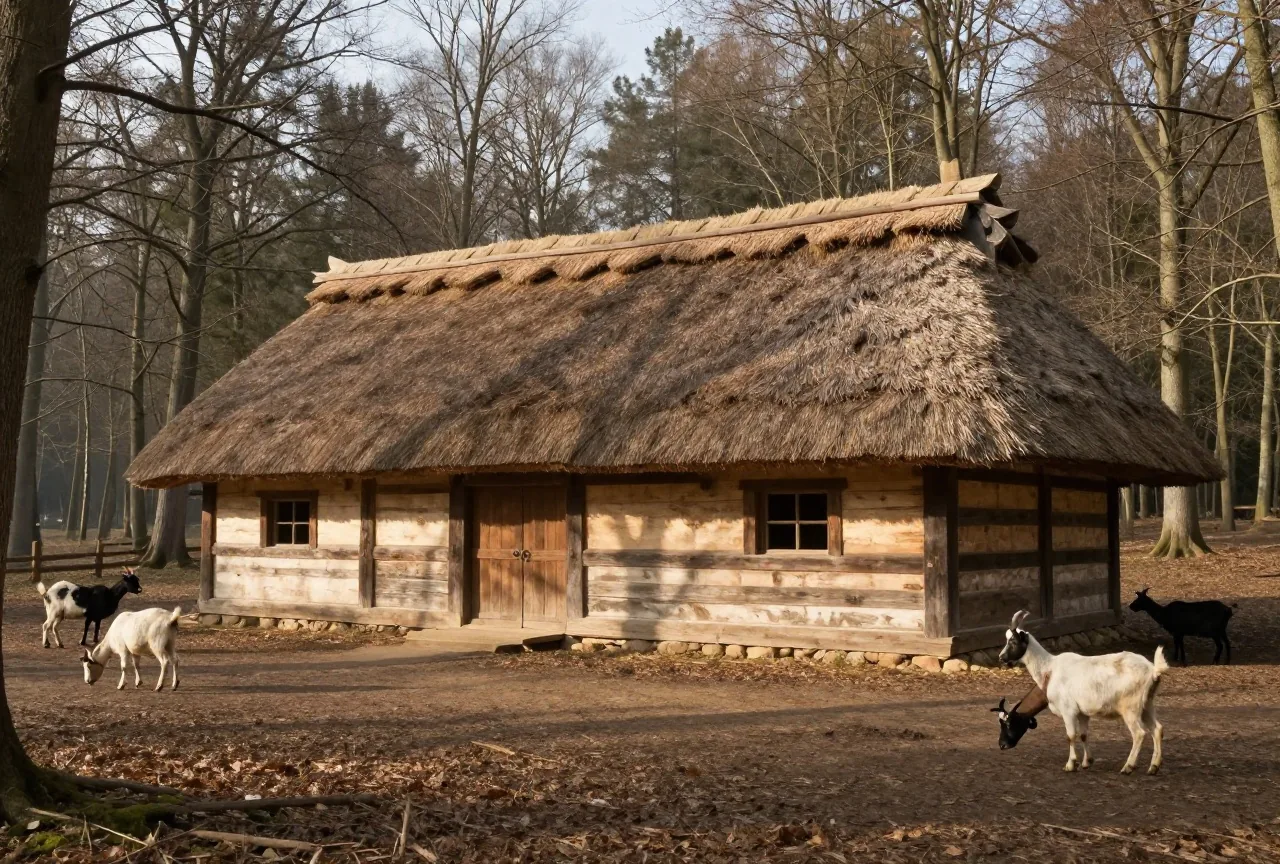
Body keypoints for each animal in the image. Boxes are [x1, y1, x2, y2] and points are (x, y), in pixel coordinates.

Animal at [999, 610, 1168, 774]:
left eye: (1013, 641)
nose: (1002, 745)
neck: (1049, 670)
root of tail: (1153, 670)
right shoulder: (1083, 712)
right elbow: (1084, 735)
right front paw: (1087, 762)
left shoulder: (1068, 711)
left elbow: (1070, 736)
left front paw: (1070, 764)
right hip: (1147, 704)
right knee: (1157, 729)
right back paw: (1154, 766)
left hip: (1130, 707)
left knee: (1139, 733)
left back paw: (1128, 766)